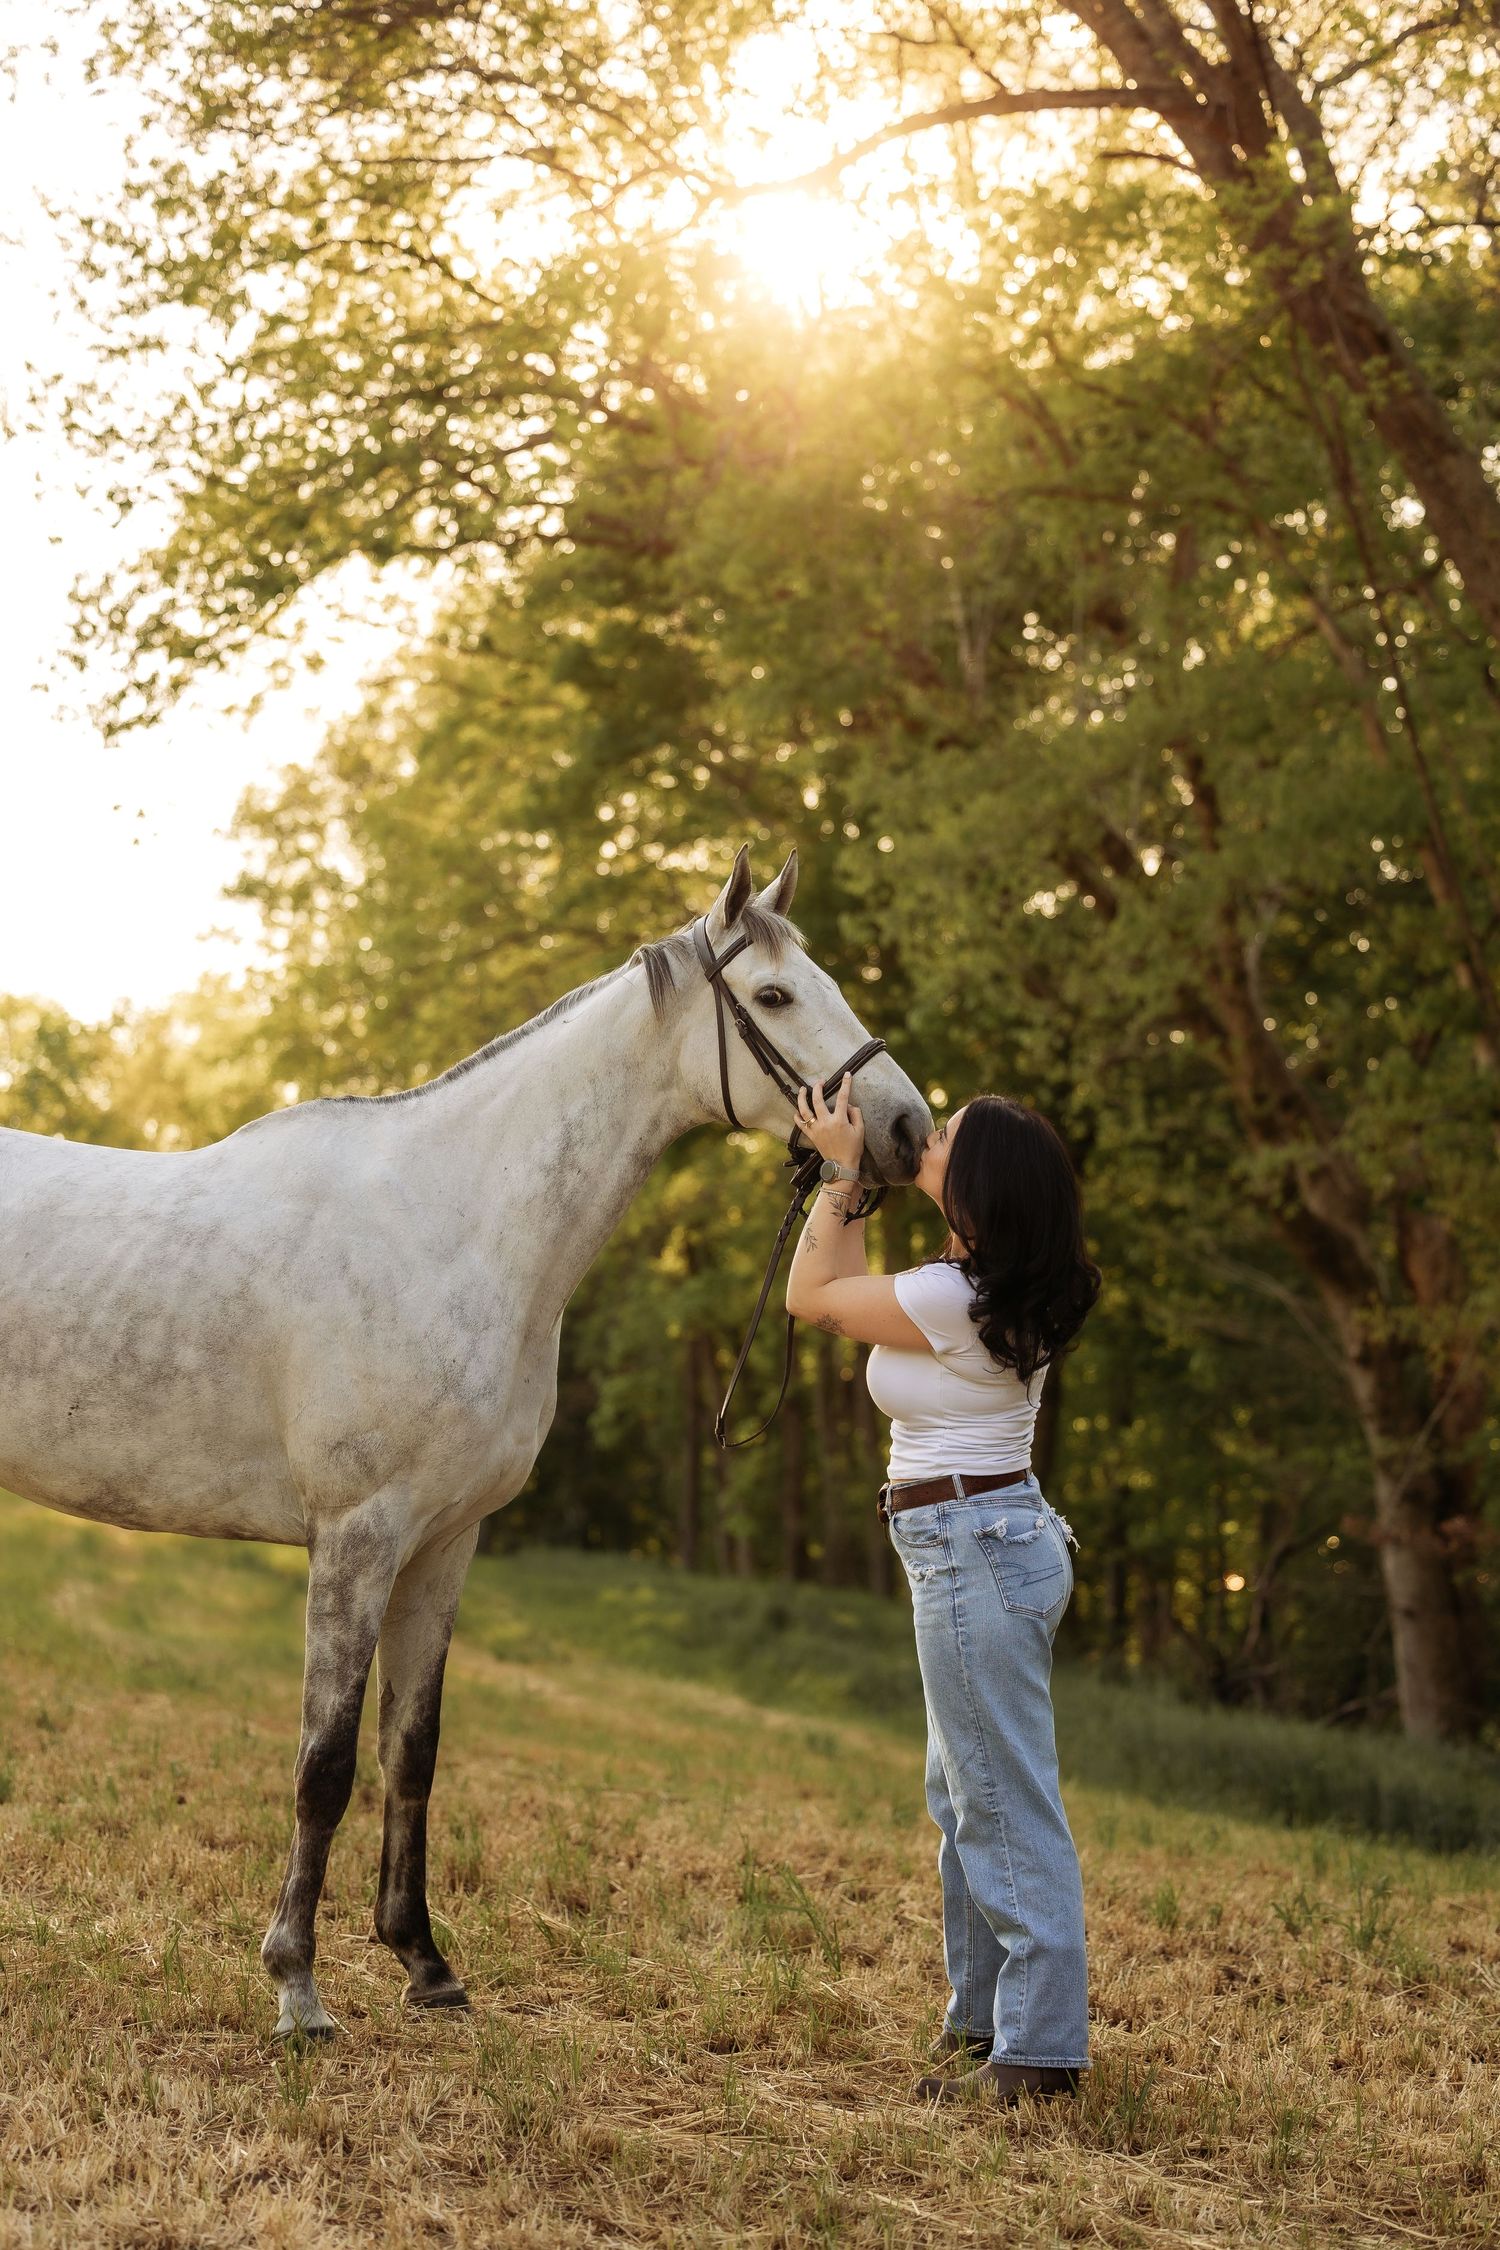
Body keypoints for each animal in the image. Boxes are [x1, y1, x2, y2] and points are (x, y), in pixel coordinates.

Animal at [0, 847, 931, 2036]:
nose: (907, 1129)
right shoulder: (358, 1539)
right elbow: (325, 1764)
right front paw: (297, 1987)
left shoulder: (445, 1545)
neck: (452, 1226)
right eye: (772, 995)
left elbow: (413, 1752)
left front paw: (423, 1963)